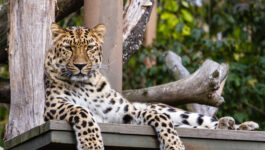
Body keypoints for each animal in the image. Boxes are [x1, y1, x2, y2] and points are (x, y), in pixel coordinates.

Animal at [43, 22, 258, 150]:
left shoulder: (124, 112)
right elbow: (83, 112)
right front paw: (92, 144)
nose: (80, 65)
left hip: (173, 110)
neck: (85, 84)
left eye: (89, 47)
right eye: (69, 48)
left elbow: (160, 117)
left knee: (198, 121)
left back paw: (239, 125)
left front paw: (174, 144)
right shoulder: (51, 108)